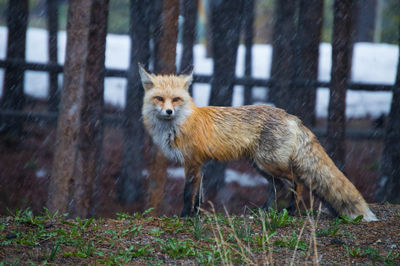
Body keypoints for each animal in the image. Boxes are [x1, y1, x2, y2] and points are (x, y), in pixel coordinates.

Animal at [138, 65, 378, 222]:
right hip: (260, 165)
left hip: (269, 163)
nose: (168, 111)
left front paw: (185, 216)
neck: (179, 124)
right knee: (278, 185)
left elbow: (188, 194)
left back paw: (290, 211)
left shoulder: (192, 162)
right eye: (159, 98)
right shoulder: (199, 165)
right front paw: (195, 215)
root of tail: (291, 116)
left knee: (296, 182)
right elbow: (198, 196)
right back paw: (265, 211)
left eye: (176, 99)